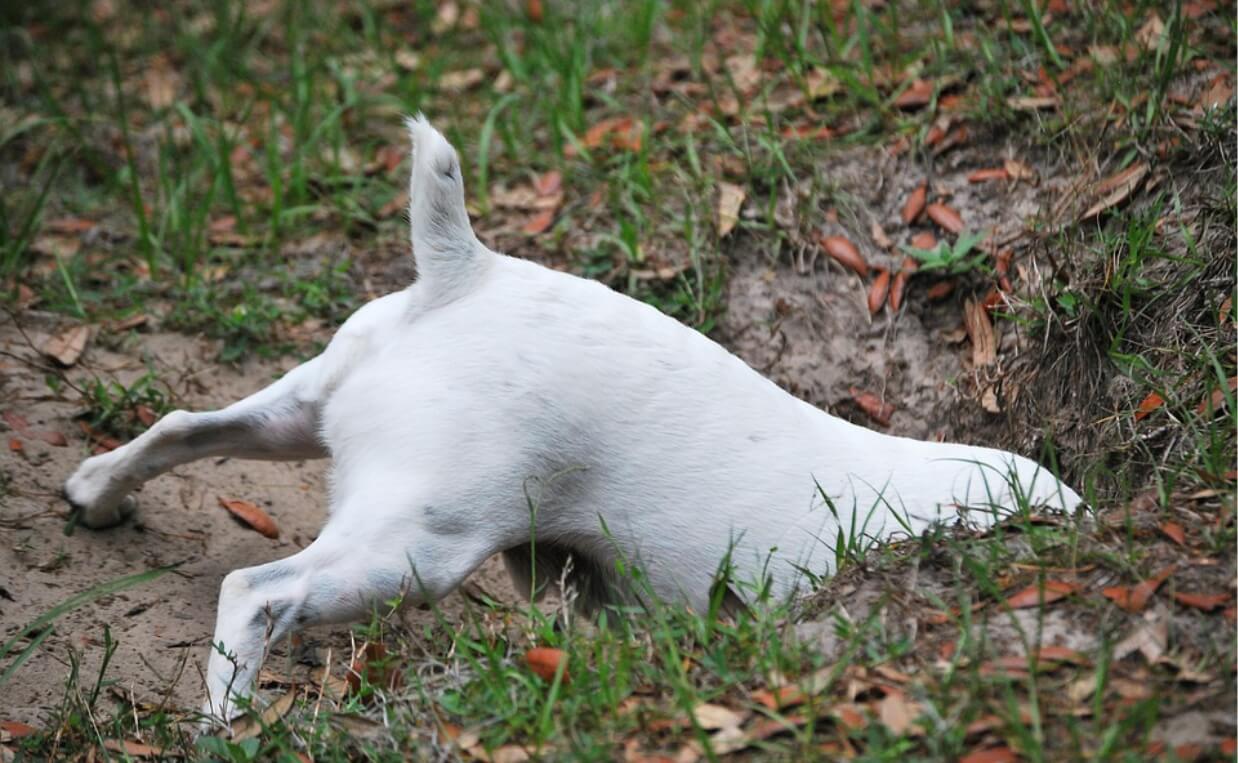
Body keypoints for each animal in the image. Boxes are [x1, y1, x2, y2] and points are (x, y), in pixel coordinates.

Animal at [62, 117, 1079, 723]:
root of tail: (468, 271)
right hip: (416, 548)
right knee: (257, 591)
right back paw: (226, 721)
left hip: (301, 418)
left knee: (182, 427)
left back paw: (96, 494)